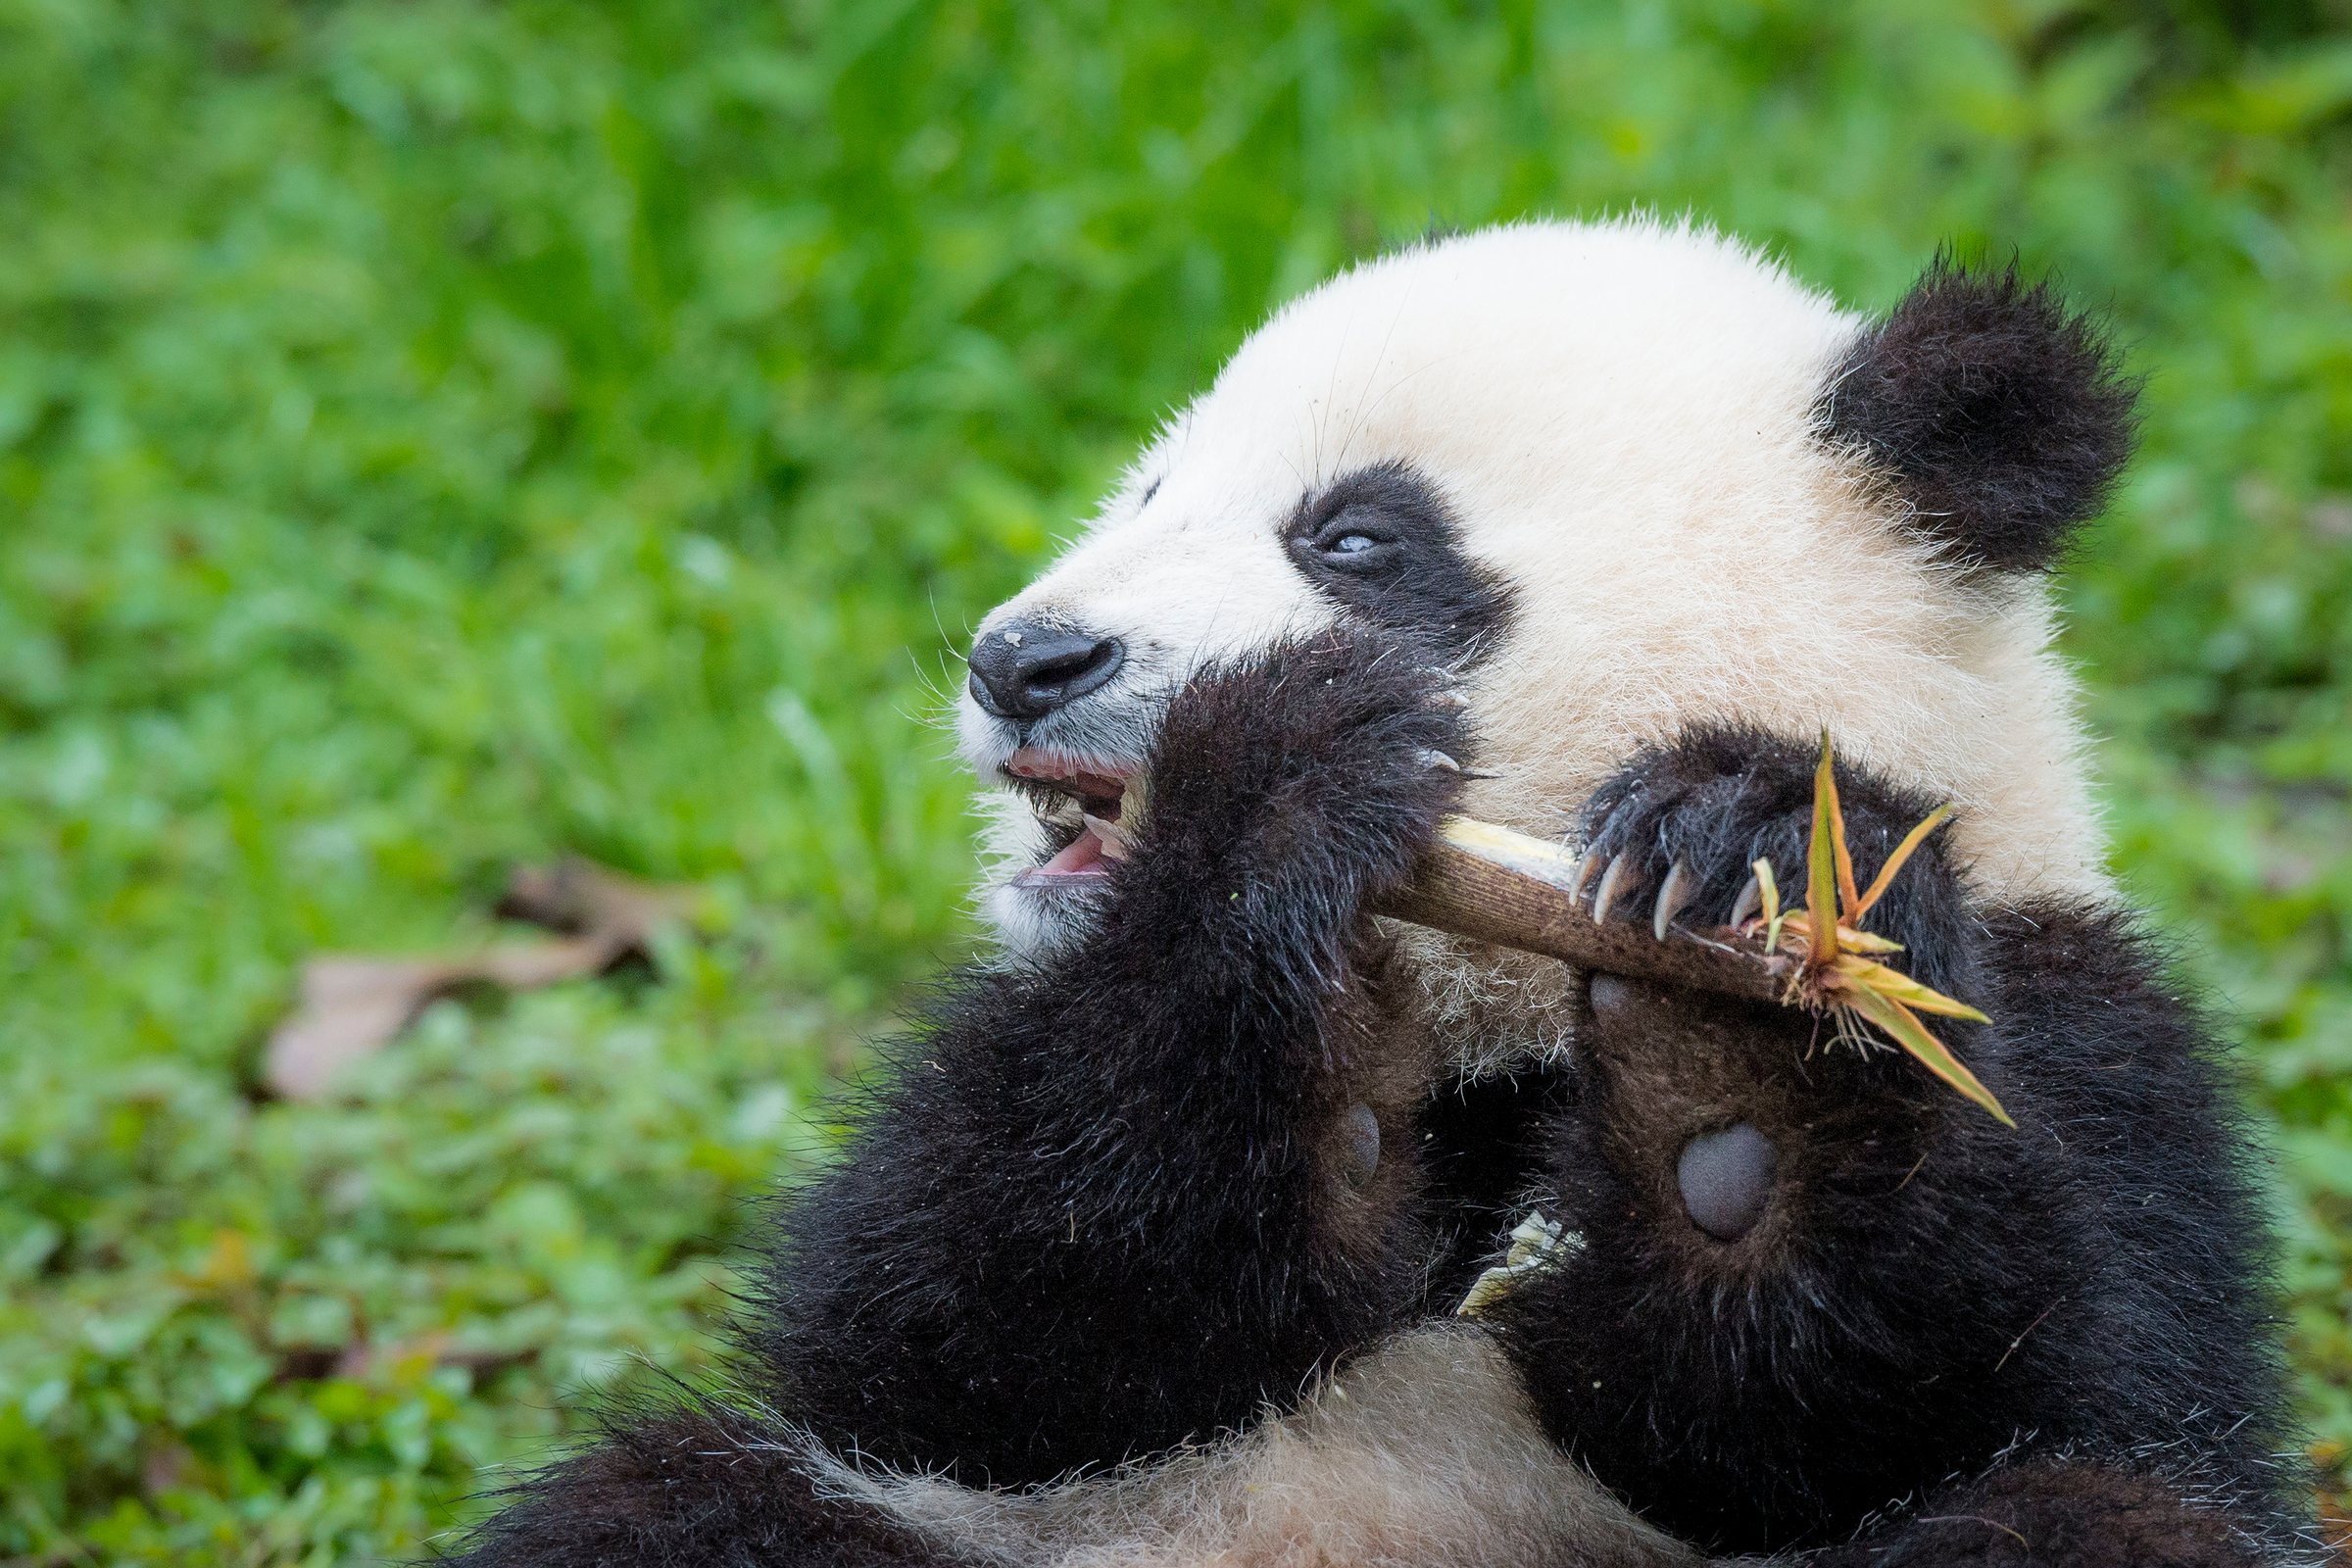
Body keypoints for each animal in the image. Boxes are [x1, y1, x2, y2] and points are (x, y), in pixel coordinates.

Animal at [451, 218, 2315, 1567]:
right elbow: (948, 1338)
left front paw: (1744, 1013)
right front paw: (1280, 825)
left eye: (1354, 538)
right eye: (1150, 492)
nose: (1024, 661)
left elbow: (2046, 1386)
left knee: (2087, 1522)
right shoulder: (1013, 1266)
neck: (1508, 1009)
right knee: (676, 1508)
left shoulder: (2082, 1027)